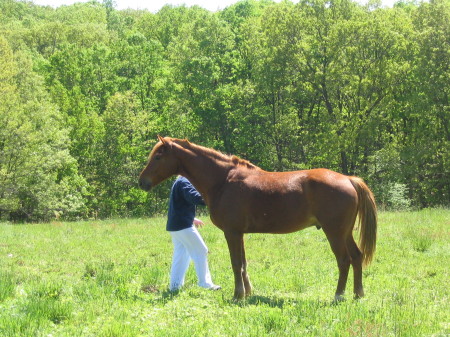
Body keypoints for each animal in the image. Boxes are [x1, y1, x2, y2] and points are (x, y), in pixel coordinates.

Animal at [138, 135, 376, 300]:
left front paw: (237, 295)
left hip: (334, 232)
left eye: (158, 156)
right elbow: (243, 264)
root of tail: (348, 179)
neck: (223, 180)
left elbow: (236, 264)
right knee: (357, 257)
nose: (142, 182)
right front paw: (248, 292)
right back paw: (358, 294)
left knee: (344, 260)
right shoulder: (239, 234)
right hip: (345, 233)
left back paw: (338, 295)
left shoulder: (232, 233)